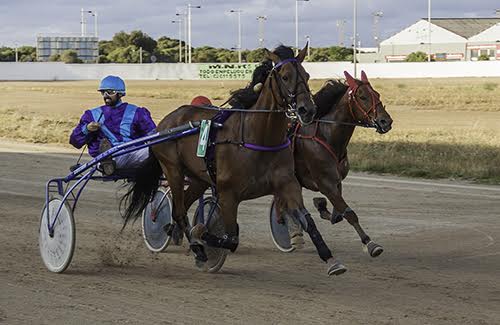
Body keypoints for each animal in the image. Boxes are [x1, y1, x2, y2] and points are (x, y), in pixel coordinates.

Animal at [121, 44, 348, 274]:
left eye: (307, 75)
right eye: (285, 76)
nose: (307, 110)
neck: (259, 138)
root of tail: (165, 123)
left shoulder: (287, 184)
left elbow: (307, 221)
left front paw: (331, 260)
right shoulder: (228, 194)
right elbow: (230, 239)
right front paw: (201, 235)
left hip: (199, 179)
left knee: (182, 206)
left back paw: (180, 236)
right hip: (173, 169)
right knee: (179, 211)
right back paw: (196, 248)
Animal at [292, 71, 394, 256]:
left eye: (377, 94)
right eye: (362, 97)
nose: (386, 121)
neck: (327, 136)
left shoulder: (337, 181)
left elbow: (338, 214)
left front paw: (321, 205)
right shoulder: (325, 183)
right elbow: (349, 214)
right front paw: (370, 243)